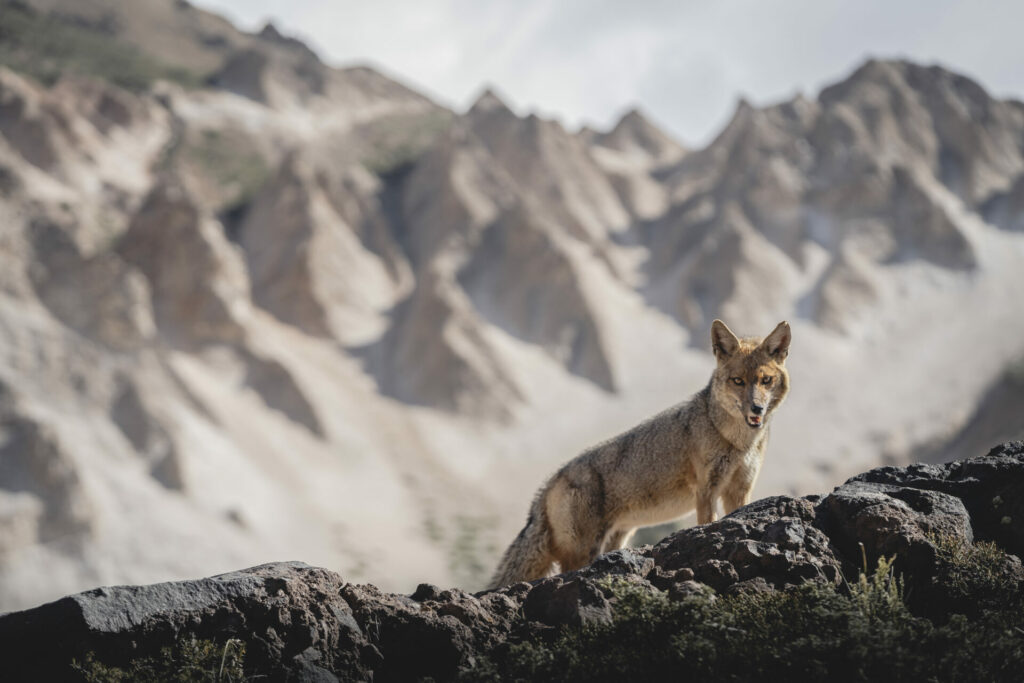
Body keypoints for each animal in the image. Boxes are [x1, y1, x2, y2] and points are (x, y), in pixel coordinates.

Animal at [487, 317, 790, 589]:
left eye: (765, 380)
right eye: (738, 381)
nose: (756, 409)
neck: (738, 441)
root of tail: (549, 483)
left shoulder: (739, 490)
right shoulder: (707, 490)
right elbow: (708, 521)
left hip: (614, 540)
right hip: (583, 551)